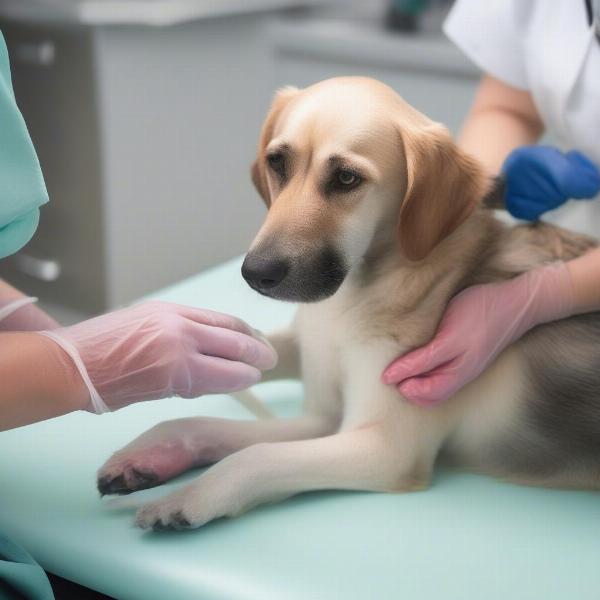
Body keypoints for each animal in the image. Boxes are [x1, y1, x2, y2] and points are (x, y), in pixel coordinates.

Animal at [96, 76, 600, 528]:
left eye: (346, 178)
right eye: (277, 162)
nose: (256, 273)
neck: (357, 296)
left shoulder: (382, 446)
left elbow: (255, 456)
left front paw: (193, 496)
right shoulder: (321, 409)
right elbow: (211, 421)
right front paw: (155, 445)